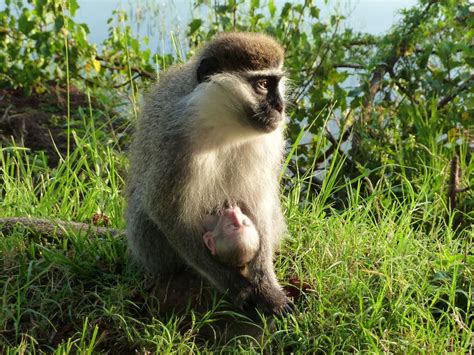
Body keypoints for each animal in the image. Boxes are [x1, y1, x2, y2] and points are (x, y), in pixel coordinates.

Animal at [125, 31, 288, 314]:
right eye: (262, 84)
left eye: (276, 83)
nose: (281, 107)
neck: (225, 124)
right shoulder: (173, 137)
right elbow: (166, 211)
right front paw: (235, 286)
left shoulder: (269, 140)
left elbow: (260, 203)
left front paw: (266, 286)